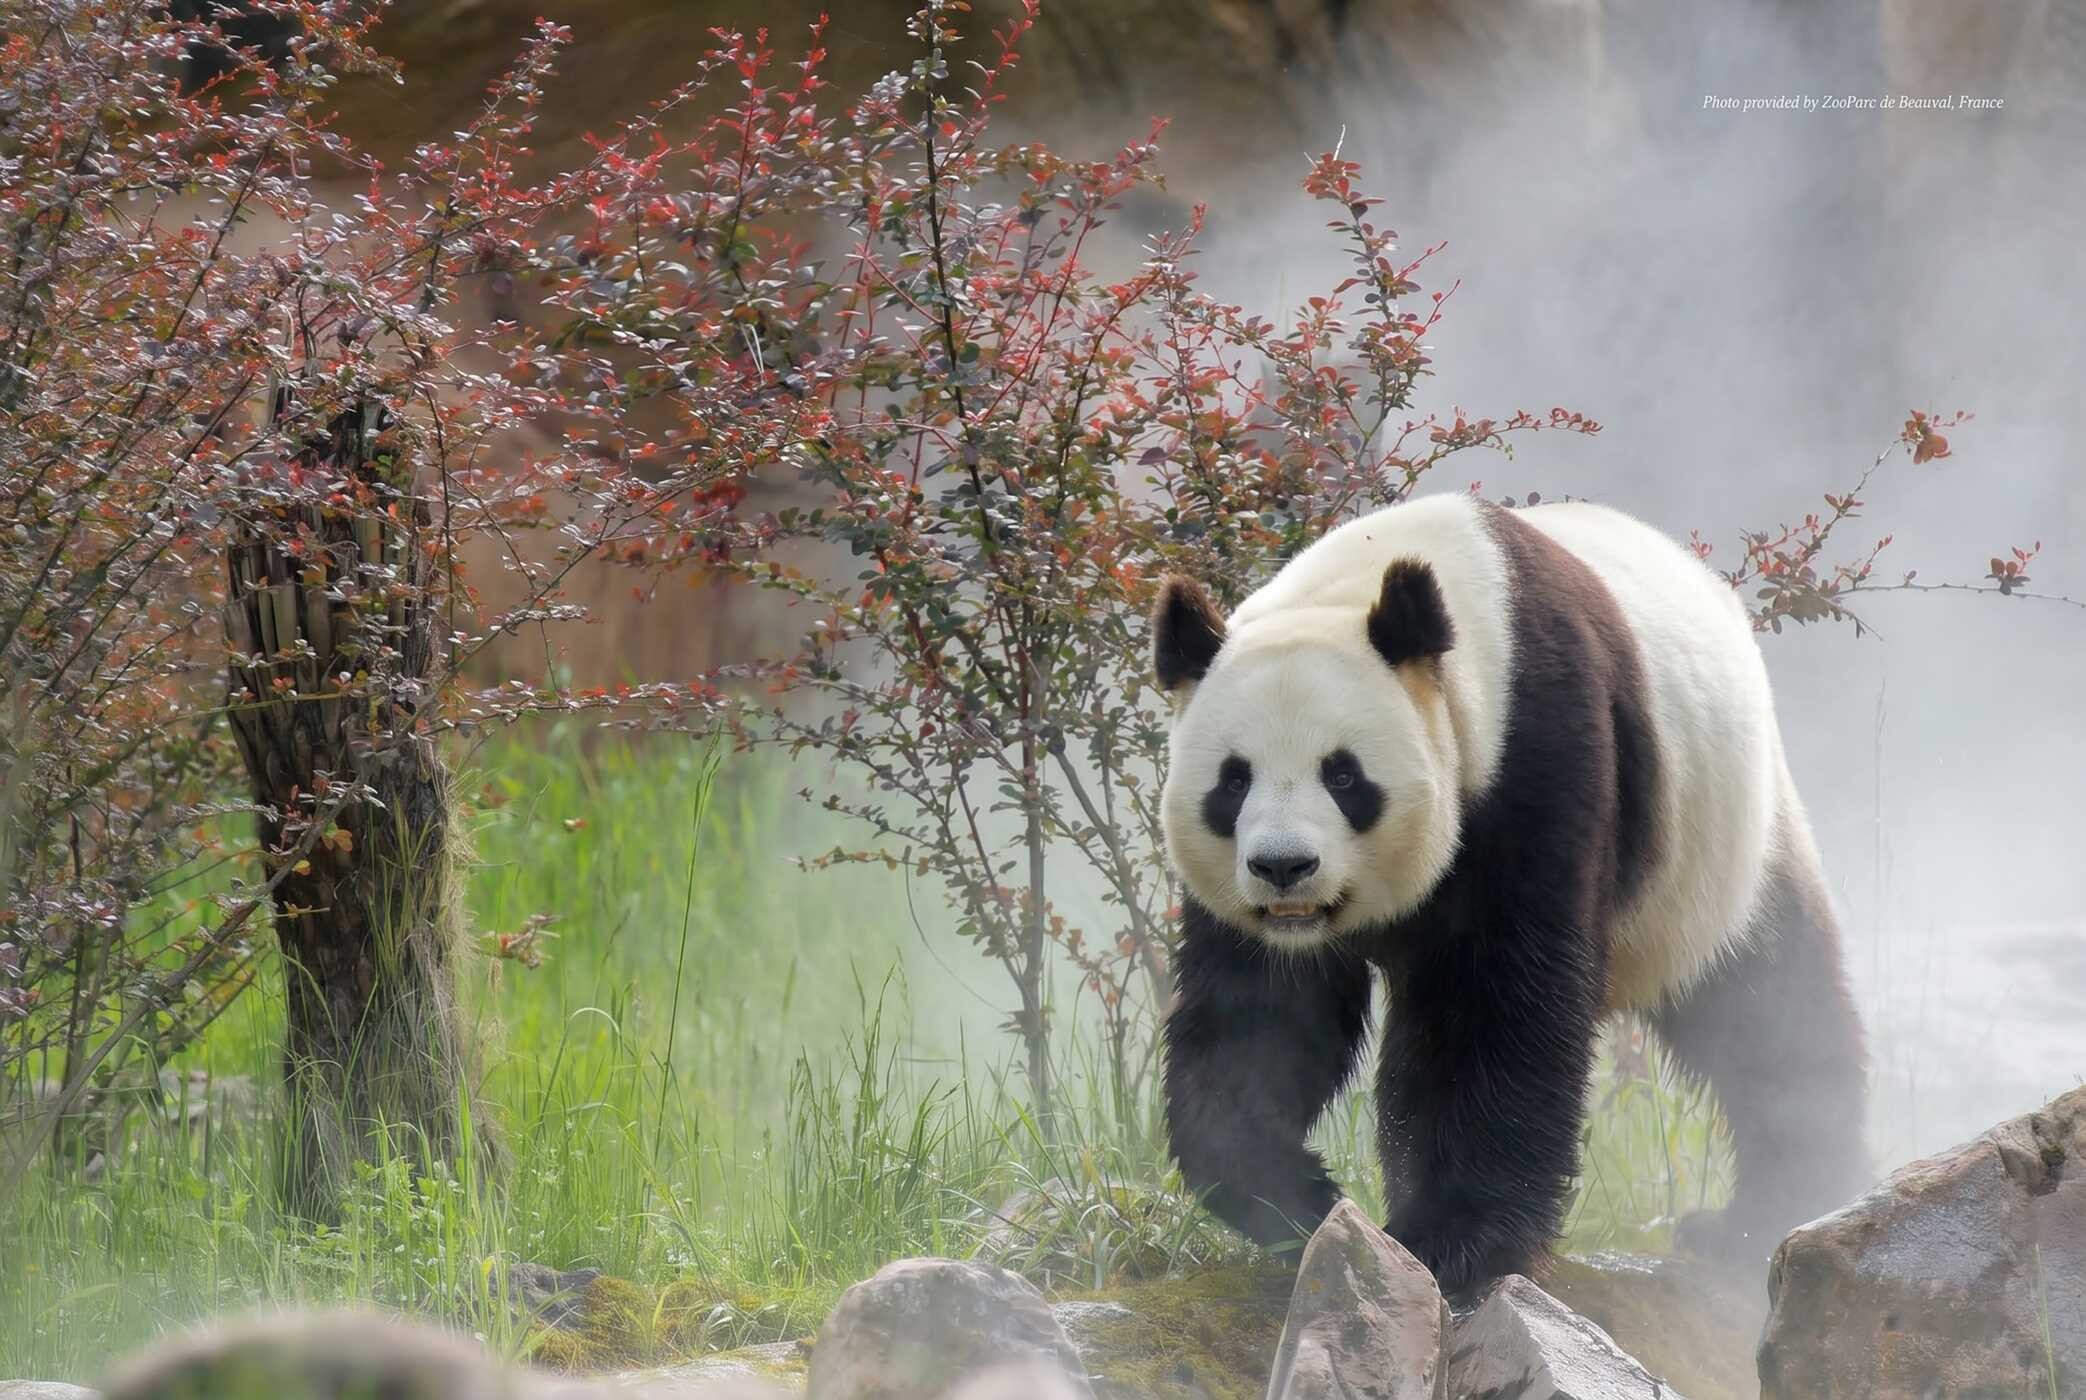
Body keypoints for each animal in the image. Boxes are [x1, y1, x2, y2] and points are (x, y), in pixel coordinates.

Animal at [1150, 492, 1870, 1299]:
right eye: (1233, 781)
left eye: (1343, 775)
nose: (1284, 867)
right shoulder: (1249, 914)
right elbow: (1259, 1018)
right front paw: (1298, 1199)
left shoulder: (1534, 752)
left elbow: (1498, 1004)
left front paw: (1451, 1243)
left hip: (1720, 848)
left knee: (1771, 1008)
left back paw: (1770, 1211)